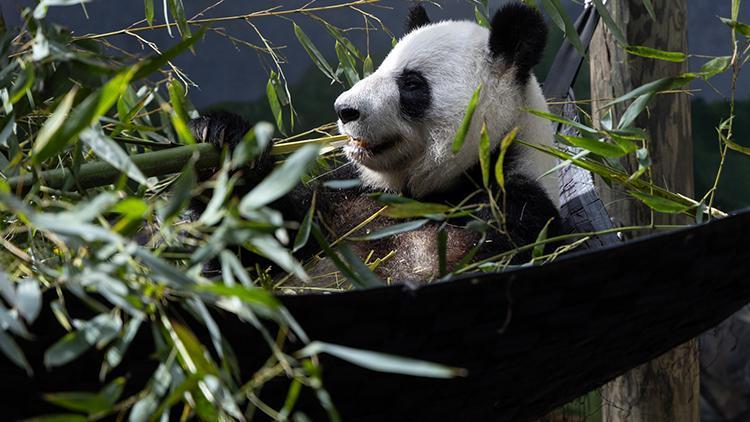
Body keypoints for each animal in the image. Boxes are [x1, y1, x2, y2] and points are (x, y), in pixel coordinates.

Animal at [191, 2, 568, 286]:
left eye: (411, 83)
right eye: (378, 68)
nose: (344, 110)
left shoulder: (514, 207)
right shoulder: (343, 196)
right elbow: (258, 251)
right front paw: (221, 138)